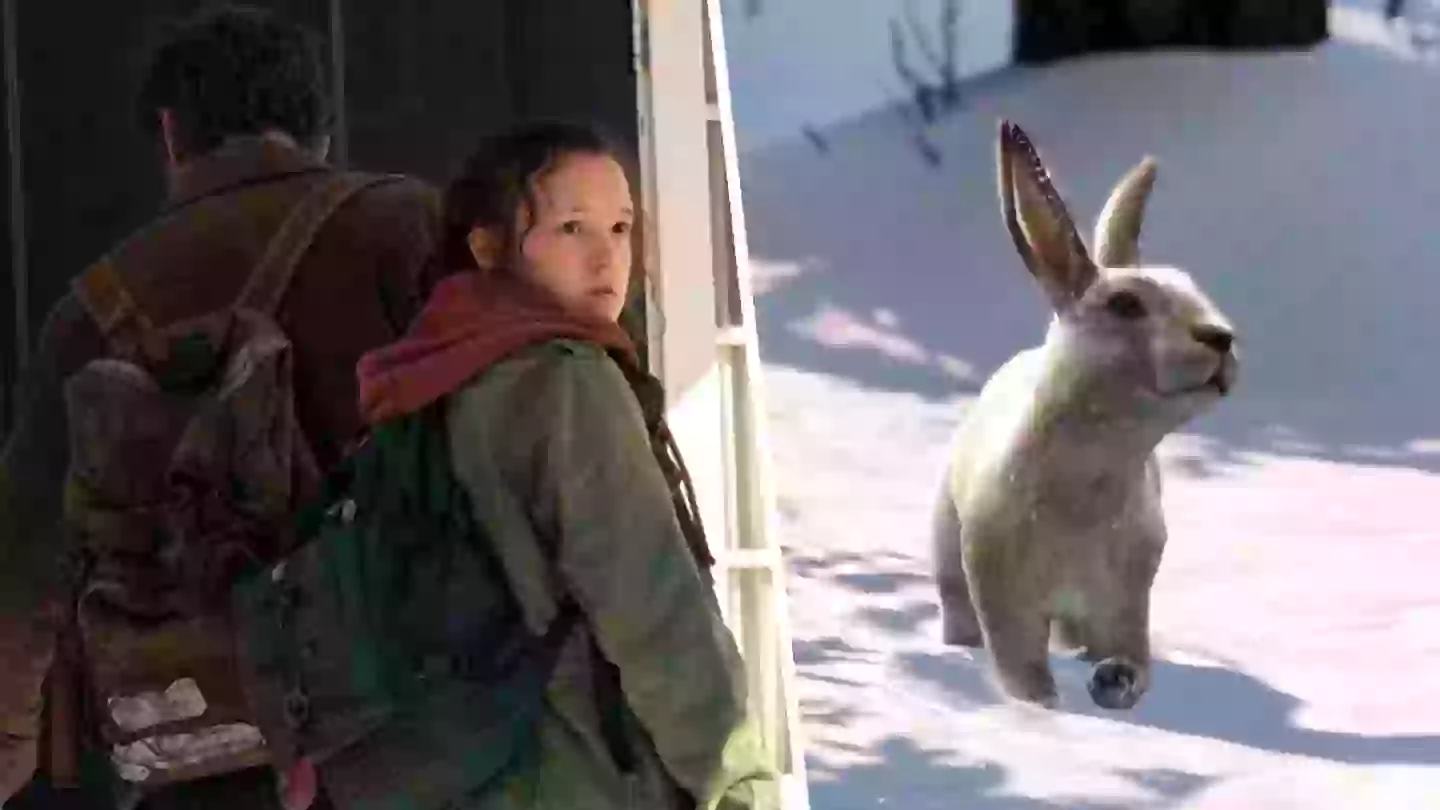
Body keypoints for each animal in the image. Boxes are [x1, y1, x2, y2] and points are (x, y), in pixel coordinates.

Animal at [932, 121, 1239, 711]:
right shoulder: (1000, 583)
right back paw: (961, 643)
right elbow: (1019, 664)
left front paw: (1115, 681)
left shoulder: (1126, 591)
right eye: (1124, 305)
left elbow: (1130, 650)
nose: (1222, 338)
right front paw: (1042, 704)